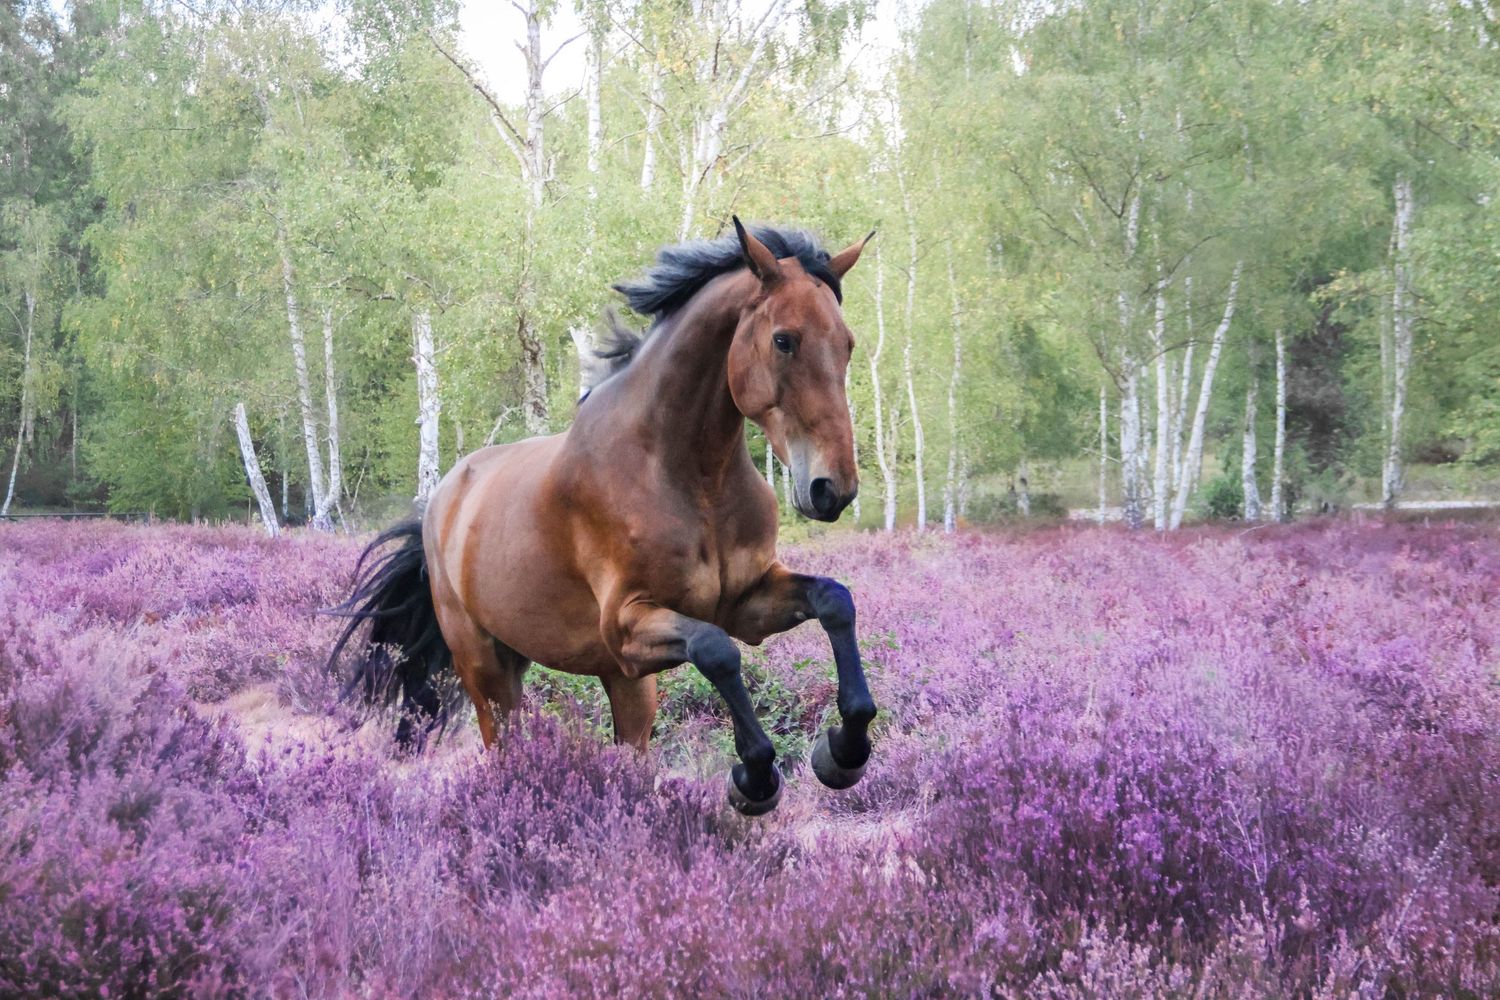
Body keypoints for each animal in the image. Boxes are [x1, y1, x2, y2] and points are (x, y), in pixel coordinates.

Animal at [329, 219, 877, 816]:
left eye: (848, 344)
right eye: (784, 340)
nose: (832, 489)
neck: (690, 479)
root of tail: (440, 503)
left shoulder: (746, 604)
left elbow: (835, 601)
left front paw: (843, 752)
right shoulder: (627, 626)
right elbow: (717, 651)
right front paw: (754, 778)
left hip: (609, 681)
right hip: (485, 669)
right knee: (504, 744)